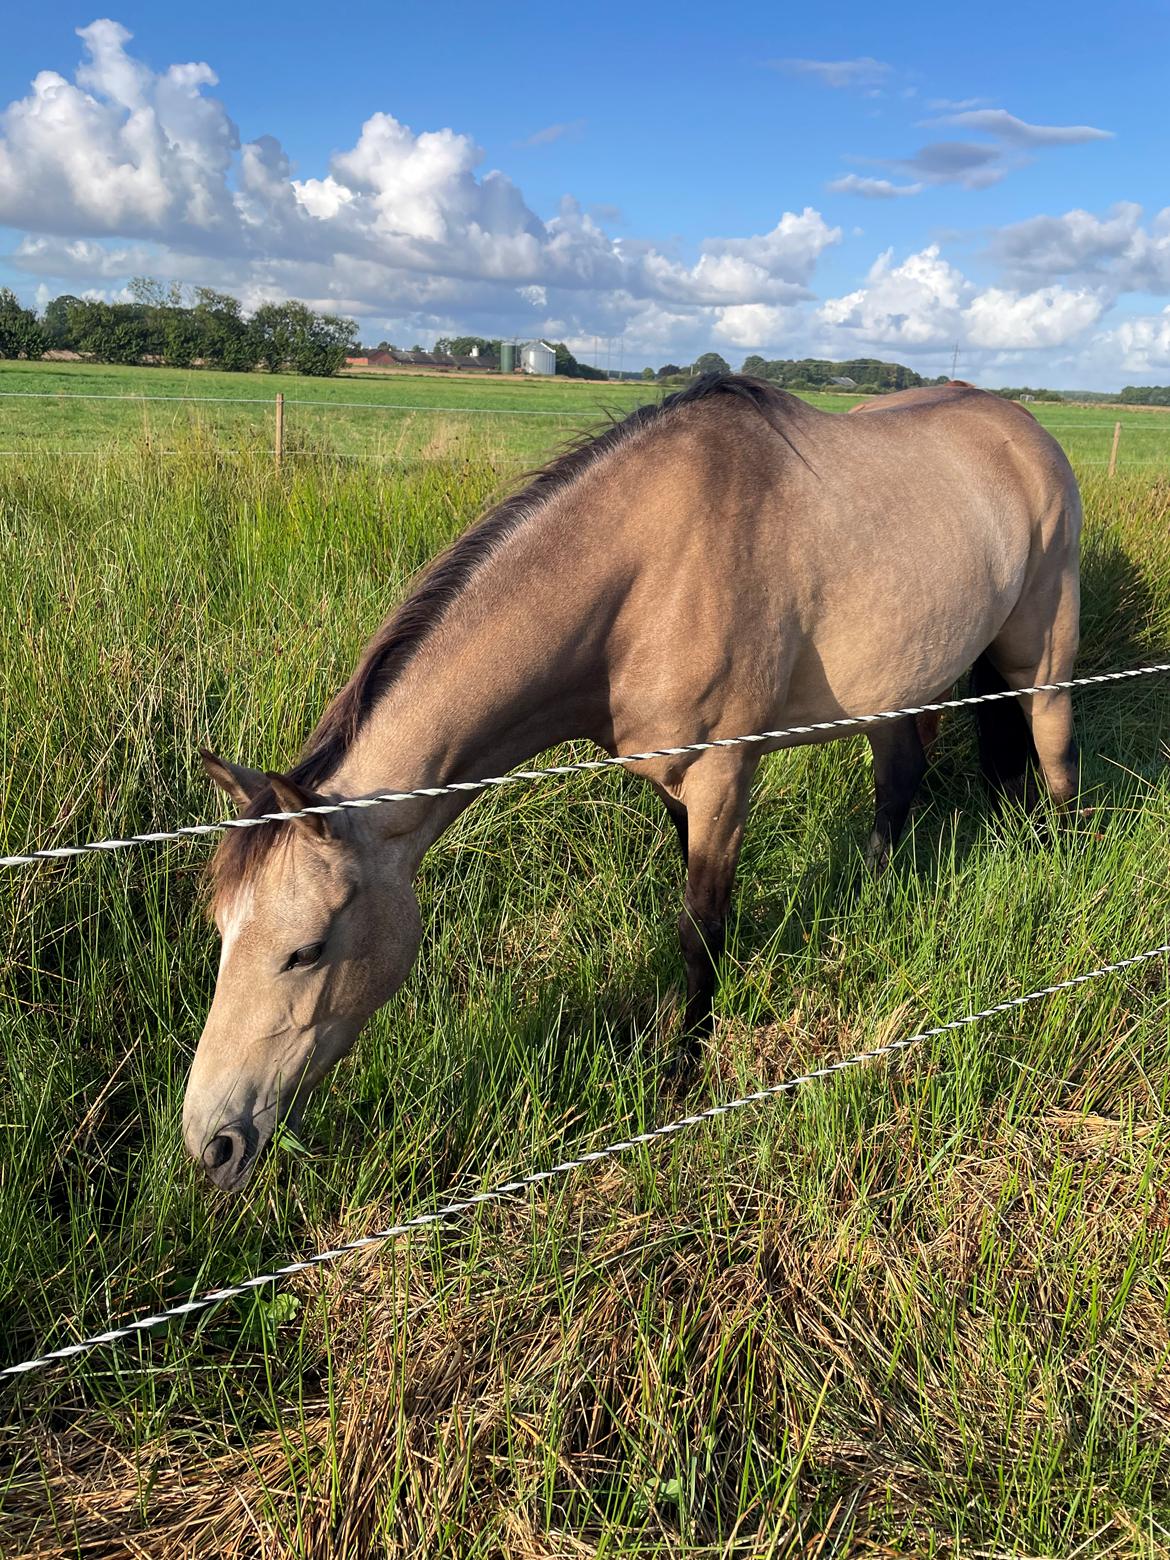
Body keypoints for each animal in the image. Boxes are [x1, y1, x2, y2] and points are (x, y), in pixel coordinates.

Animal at [183, 371, 1079, 1185]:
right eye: (220, 934)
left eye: (304, 951)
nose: (211, 1142)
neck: (652, 569)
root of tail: (1023, 430)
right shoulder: (670, 782)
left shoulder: (723, 777)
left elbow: (700, 930)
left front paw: (684, 1069)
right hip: (902, 684)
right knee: (901, 784)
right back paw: (875, 889)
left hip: (1042, 657)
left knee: (1055, 760)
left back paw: (1059, 870)